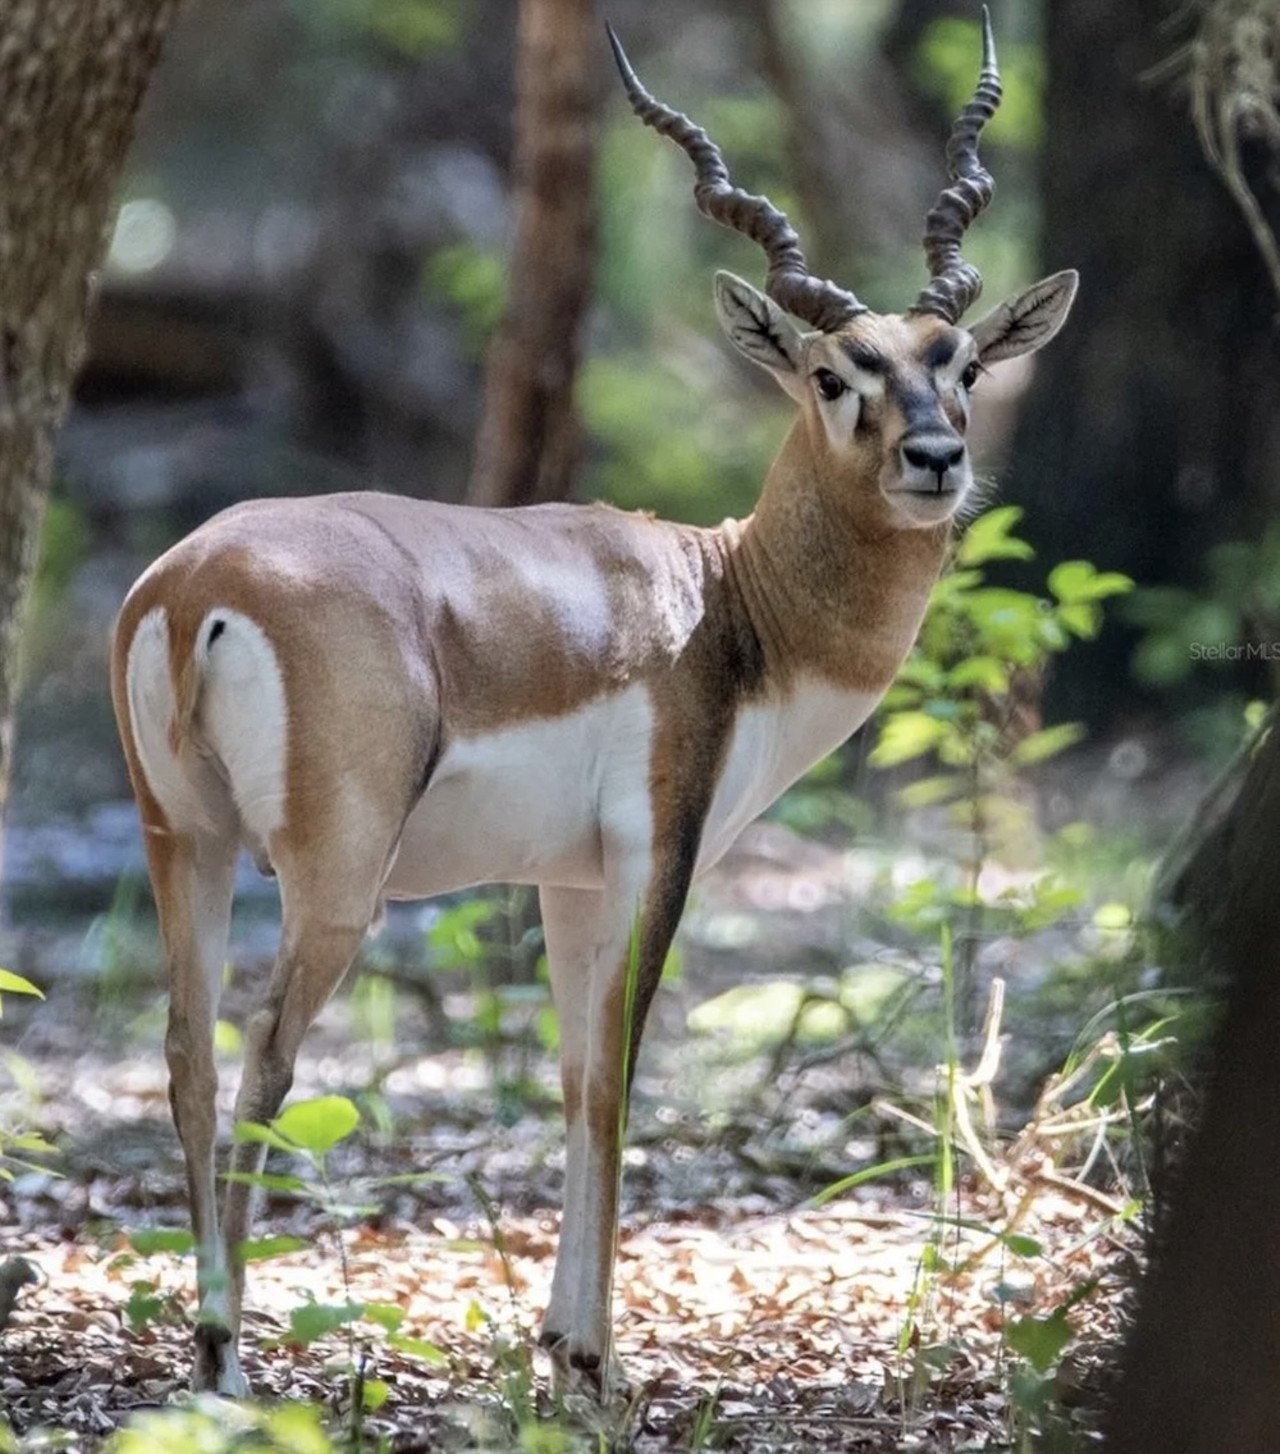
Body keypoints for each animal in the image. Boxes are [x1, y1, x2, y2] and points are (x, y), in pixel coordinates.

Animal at [107, 11, 1082, 1395]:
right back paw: (228, 1361)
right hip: (332, 879)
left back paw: (204, 1349)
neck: (725, 598)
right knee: (262, 1060)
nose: (934, 459)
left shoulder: (564, 879)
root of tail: (196, 583)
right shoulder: (656, 850)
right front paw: (604, 1363)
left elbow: (573, 1081)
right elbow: (619, 1078)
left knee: (186, 1057)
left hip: (179, 839)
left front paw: (562, 1341)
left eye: (958, 365)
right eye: (833, 372)